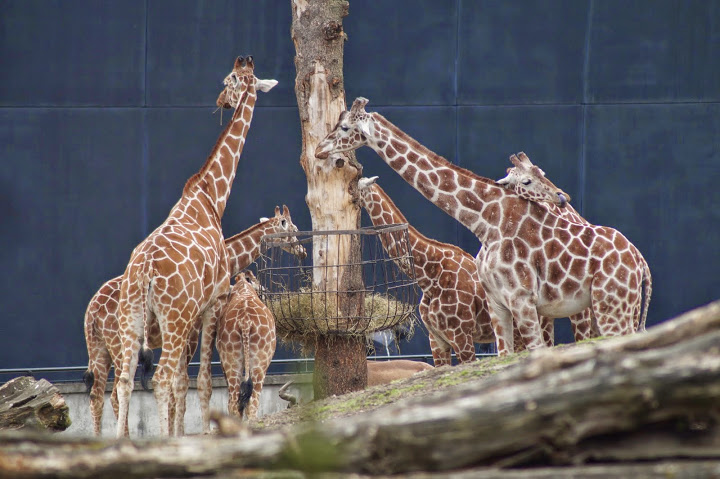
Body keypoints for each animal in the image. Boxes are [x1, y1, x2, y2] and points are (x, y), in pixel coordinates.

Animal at [216, 270, 276, 420]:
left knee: (237, 402)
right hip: (259, 362)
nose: (267, 292)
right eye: (261, 289)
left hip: (234, 360)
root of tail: (245, 322)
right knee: (250, 402)